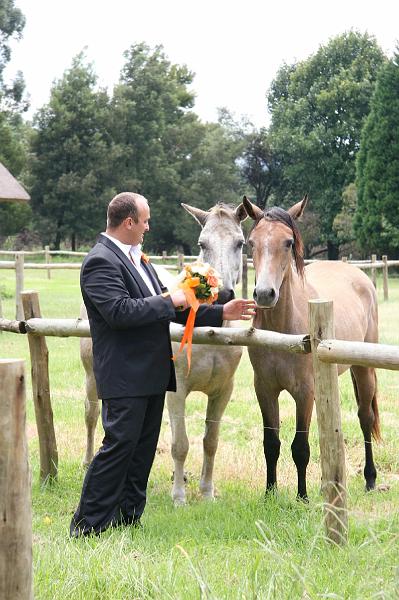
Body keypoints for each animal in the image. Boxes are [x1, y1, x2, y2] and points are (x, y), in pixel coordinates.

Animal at [244, 195, 382, 500]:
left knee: (365, 418)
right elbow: (271, 443)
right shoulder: (264, 389)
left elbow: (300, 447)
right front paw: (270, 493)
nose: (264, 294)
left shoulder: (304, 392)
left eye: (288, 242)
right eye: (251, 242)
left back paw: (370, 478)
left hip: (362, 368)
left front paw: (302, 497)